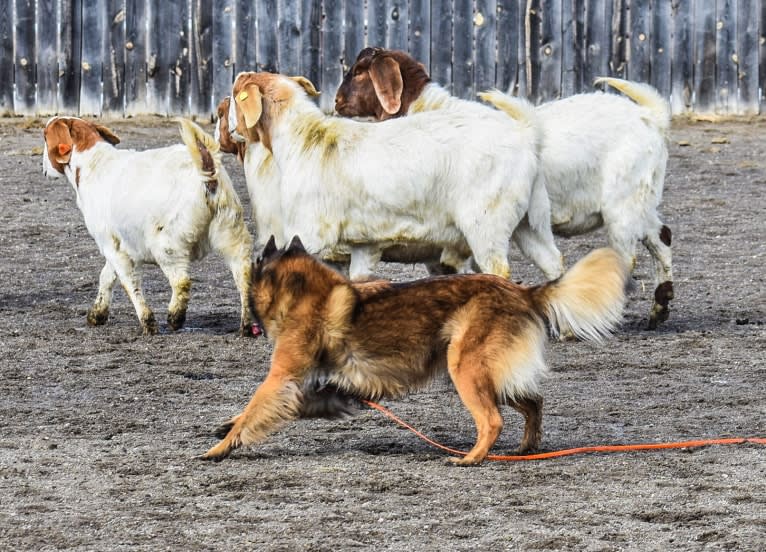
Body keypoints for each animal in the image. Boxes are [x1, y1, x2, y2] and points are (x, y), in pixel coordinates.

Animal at [43, 116, 255, 336]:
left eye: (45, 135)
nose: (44, 169)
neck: (94, 164)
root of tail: (206, 168)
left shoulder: (110, 243)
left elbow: (130, 282)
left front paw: (148, 322)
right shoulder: (119, 245)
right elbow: (107, 276)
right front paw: (97, 314)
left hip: (167, 244)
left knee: (181, 281)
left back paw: (175, 317)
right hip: (230, 230)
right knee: (243, 274)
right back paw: (246, 325)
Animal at [204, 235, 632, 464]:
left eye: (256, 266)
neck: (307, 293)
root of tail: (523, 291)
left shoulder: (282, 377)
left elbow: (255, 408)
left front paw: (221, 447)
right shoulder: (320, 388)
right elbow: (260, 411)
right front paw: (226, 426)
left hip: (467, 369)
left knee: (492, 420)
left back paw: (471, 458)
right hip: (494, 374)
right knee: (533, 403)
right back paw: (527, 447)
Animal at [225, 71, 568, 282]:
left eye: (236, 96)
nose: (227, 129)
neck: (305, 139)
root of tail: (526, 134)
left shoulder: (311, 232)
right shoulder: (364, 241)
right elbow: (358, 278)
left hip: (487, 221)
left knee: (499, 270)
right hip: (532, 220)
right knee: (554, 263)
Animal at [340, 47, 676, 328]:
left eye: (358, 71)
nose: (337, 102)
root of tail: (651, 116)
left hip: (621, 203)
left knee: (628, 257)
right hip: (641, 199)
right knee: (661, 237)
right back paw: (659, 310)